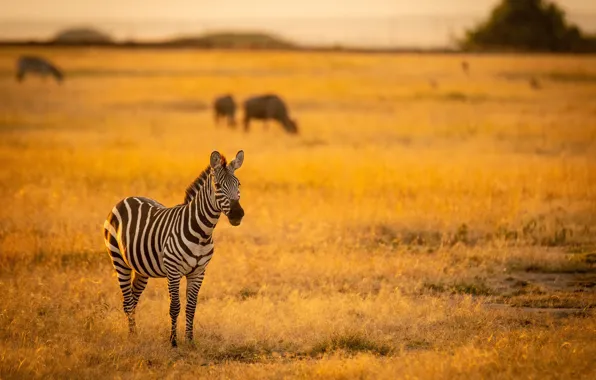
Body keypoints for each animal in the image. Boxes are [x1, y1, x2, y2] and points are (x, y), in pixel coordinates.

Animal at [103, 150, 244, 346]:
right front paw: (173, 341)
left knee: (133, 297)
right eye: (217, 185)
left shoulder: (198, 272)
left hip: (141, 268)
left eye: (238, 184)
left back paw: (135, 334)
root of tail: (126, 199)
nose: (238, 214)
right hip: (119, 260)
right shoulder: (173, 270)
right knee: (128, 301)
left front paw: (190, 341)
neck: (202, 233)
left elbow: (191, 306)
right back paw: (132, 337)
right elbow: (175, 306)